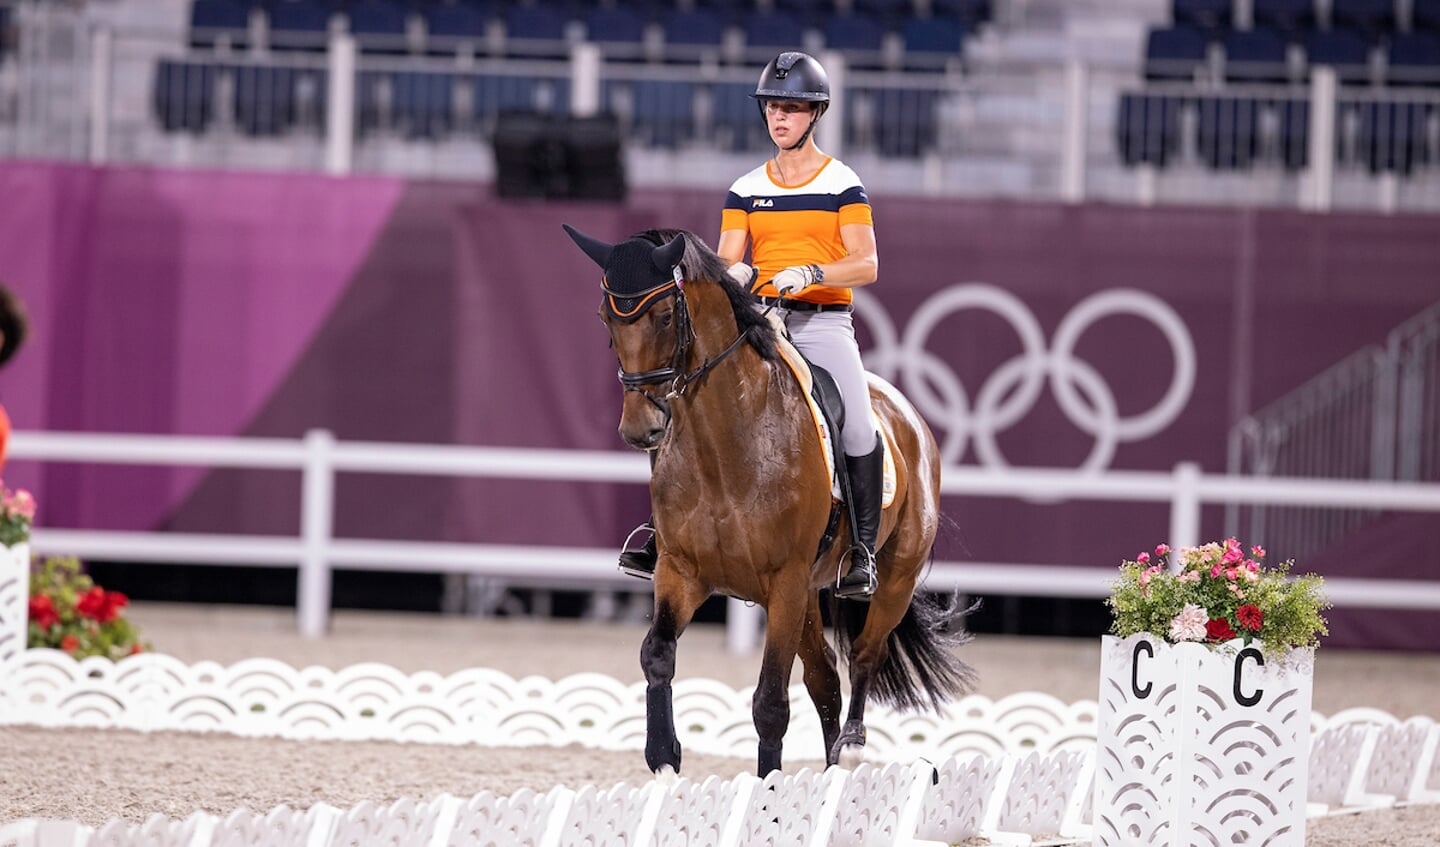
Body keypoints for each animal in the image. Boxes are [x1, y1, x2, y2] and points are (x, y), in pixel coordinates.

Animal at [561, 223, 979, 772]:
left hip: (891, 578)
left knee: (865, 655)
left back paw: (851, 746)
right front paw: (664, 755)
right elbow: (657, 654)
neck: (727, 445)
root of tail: (905, 412)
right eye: (606, 316)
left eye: (666, 314)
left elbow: (770, 702)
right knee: (825, 679)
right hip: (805, 599)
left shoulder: (785, 580)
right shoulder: (681, 572)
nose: (640, 429)